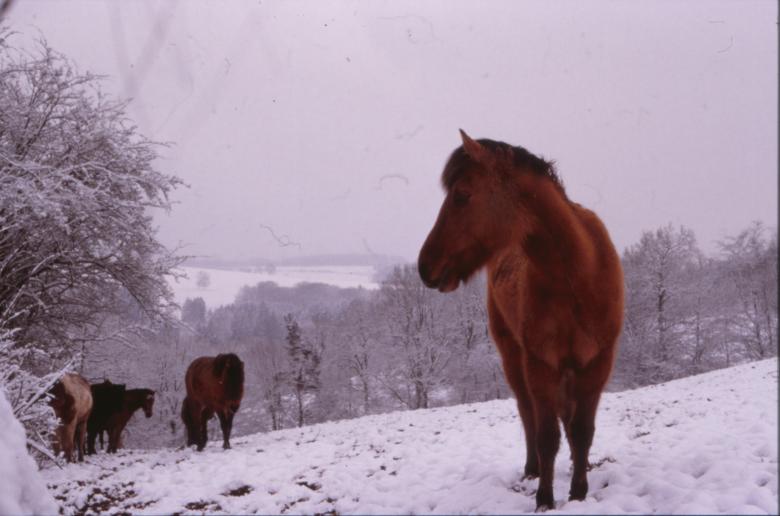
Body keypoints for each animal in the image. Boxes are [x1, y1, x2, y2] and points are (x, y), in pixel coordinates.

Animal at [418, 131, 623, 510]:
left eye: (462, 195)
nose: (425, 266)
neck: (577, 276)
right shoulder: (540, 364)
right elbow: (546, 435)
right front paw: (545, 498)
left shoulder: (597, 364)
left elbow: (582, 430)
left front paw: (579, 490)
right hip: (514, 358)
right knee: (528, 413)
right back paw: (532, 469)